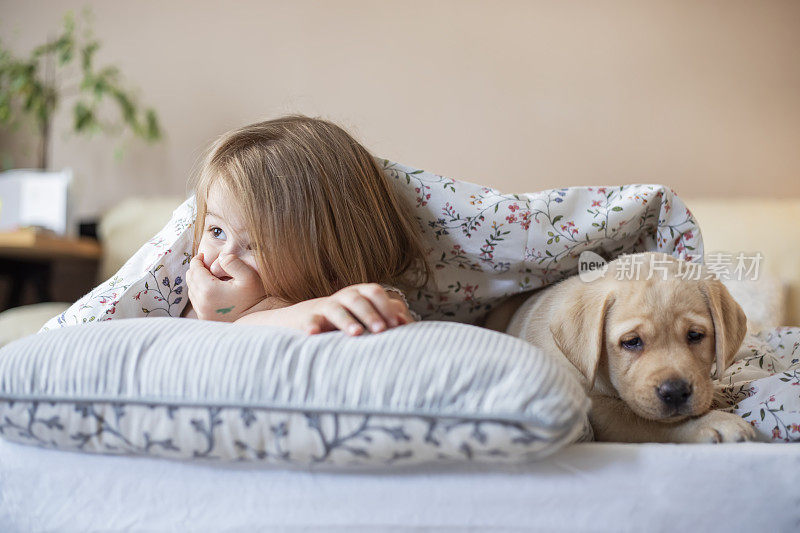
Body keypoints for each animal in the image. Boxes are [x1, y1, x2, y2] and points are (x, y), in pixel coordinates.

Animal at [488, 251, 756, 442]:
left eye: (695, 335)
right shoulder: (599, 410)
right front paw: (713, 423)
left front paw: (716, 396)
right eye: (631, 342)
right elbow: (643, 420)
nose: (676, 392)